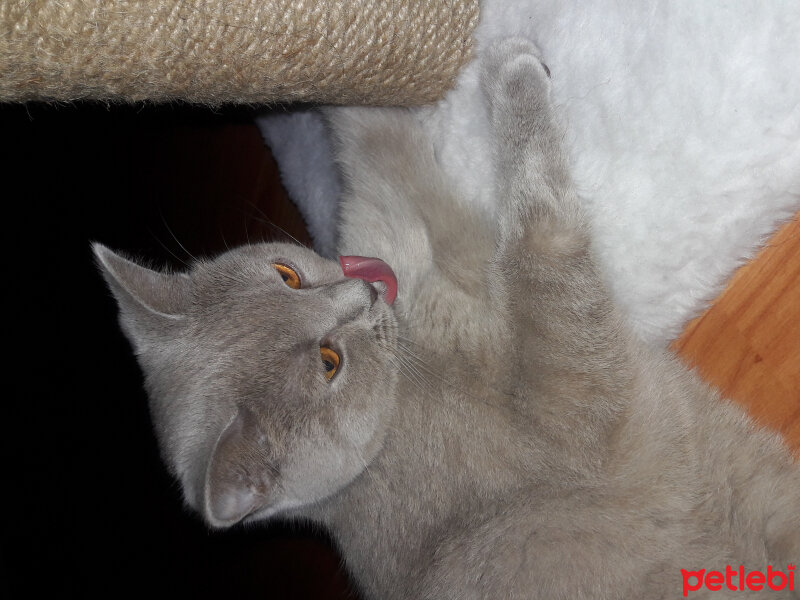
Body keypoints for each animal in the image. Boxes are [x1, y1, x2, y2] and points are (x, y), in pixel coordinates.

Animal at [92, 39, 792, 596]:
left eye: (286, 275)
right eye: (329, 364)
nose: (360, 294)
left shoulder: (401, 219)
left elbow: (378, 139)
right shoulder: (573, 395)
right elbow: (537, 231)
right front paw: (513, 66)